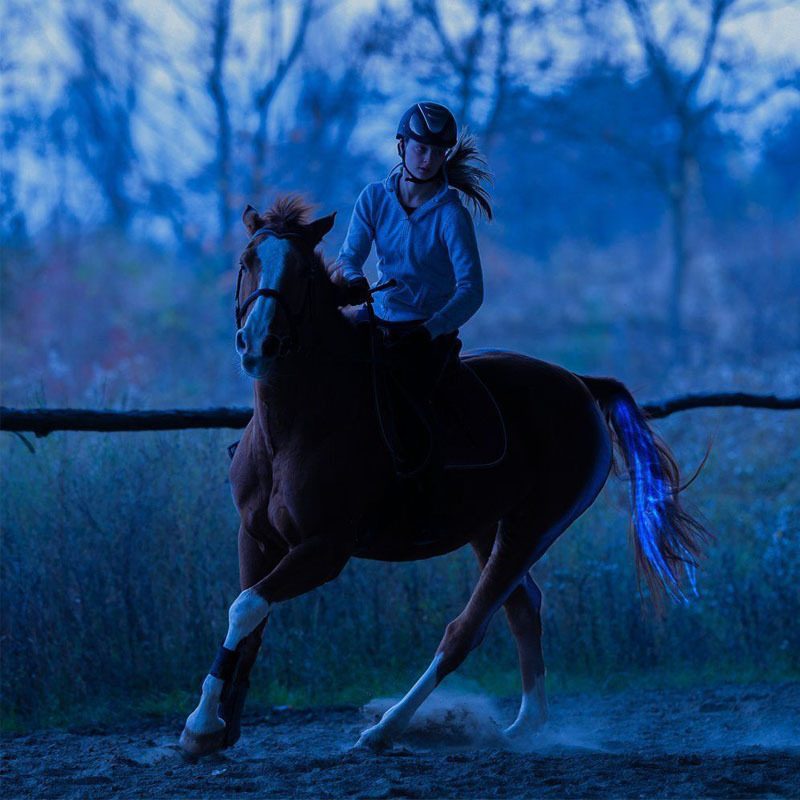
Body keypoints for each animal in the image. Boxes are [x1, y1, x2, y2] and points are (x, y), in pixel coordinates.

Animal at [178, 195, 708, 756]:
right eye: (246, 261)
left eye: (301, 272)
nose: (259, 342)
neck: (295, 423)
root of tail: (582, 384)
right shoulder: (256, 536)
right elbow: (248, 616)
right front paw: (216, 725)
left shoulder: (324, 549)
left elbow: (246, 606)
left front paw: (202, 724)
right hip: (489, 529)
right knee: (523, 608)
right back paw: (522, 727)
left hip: (532, 527)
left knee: (466, 629)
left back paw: (386, 728)